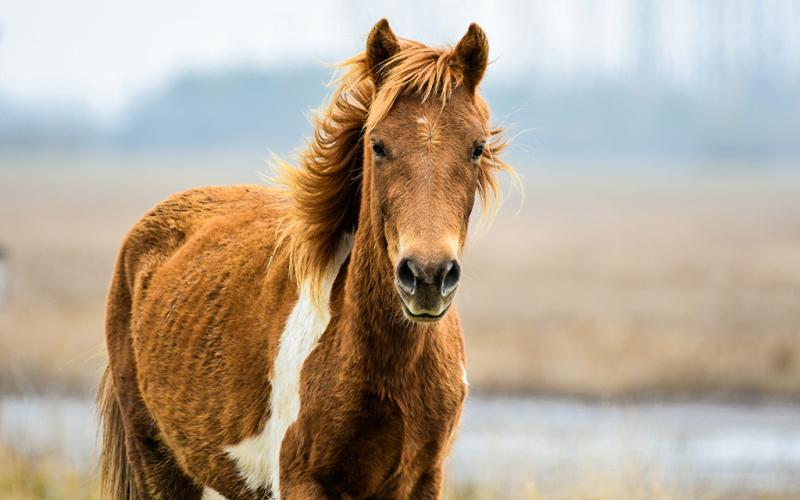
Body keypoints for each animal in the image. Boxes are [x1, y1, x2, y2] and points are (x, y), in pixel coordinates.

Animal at [98, 18, 513, 499]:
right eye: (378, 145)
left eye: (476, 147)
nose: (427, 277)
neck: (390, 372)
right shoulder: (301, 479)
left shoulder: (422, 480)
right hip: (155, 461)